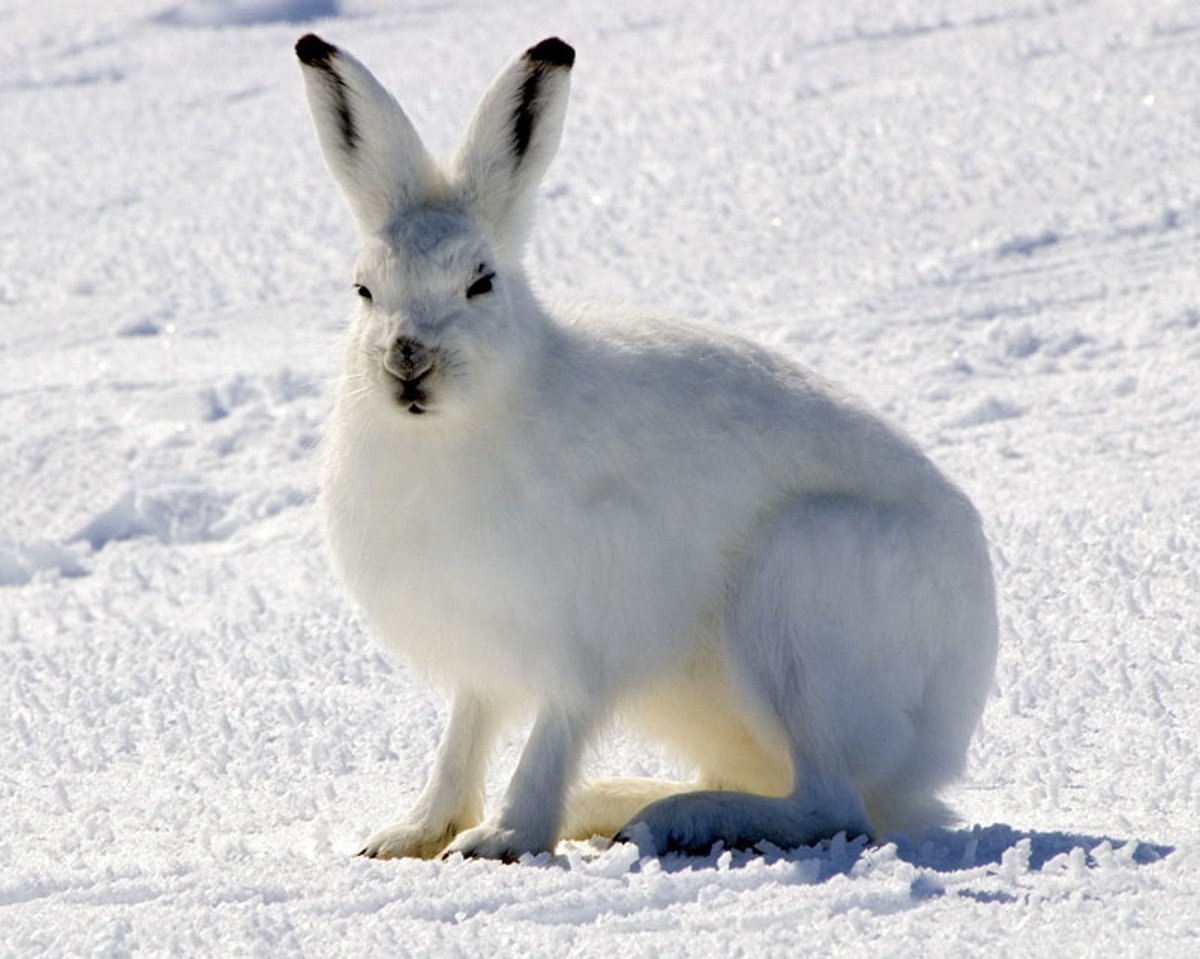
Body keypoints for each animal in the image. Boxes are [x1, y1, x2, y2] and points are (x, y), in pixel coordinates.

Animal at [295, 32, 999, 862]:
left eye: (481, 282)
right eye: (364, 290)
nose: (408, 359)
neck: (465, 423)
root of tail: (944, 732)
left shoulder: (584, 638)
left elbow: (551, 734)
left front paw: (502, 835)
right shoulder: (483, 651)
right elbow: (464, 735)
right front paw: (410, 833)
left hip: (799, 589)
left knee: (833, 804)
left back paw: (675, 819)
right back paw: (619, 803)